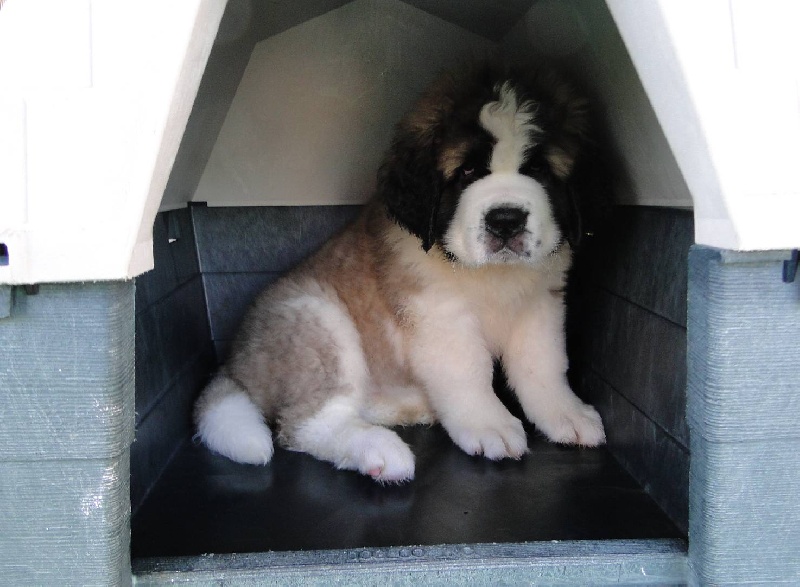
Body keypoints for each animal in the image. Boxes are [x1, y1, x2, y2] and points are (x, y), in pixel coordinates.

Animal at [194, 64, 606, 483]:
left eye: (538, 169)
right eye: (467, 171)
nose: (505, 221)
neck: (489, 276)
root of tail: (236, 360)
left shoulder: (540, 305)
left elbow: (545, 365)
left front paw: (566, 413)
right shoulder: (440, 315)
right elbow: (469, 371)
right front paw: (489, 424)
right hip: (316, 320)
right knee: (305, 422)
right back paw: (379, 450)